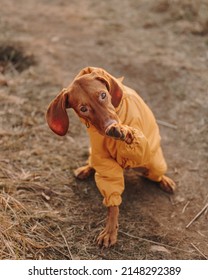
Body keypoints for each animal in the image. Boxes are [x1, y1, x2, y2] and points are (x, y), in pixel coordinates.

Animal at [46, 67, 176, 247]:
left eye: (103, 95)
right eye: (83, 109)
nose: (110, 126)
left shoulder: (142, 149)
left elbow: (135, 140)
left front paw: (124, 130)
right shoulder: (104, 161)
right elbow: (112, 203)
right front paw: (110, 230)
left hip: (154, 164)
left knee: (155, 173)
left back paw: (165, 180)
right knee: (93, 162)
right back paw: (87, 168)